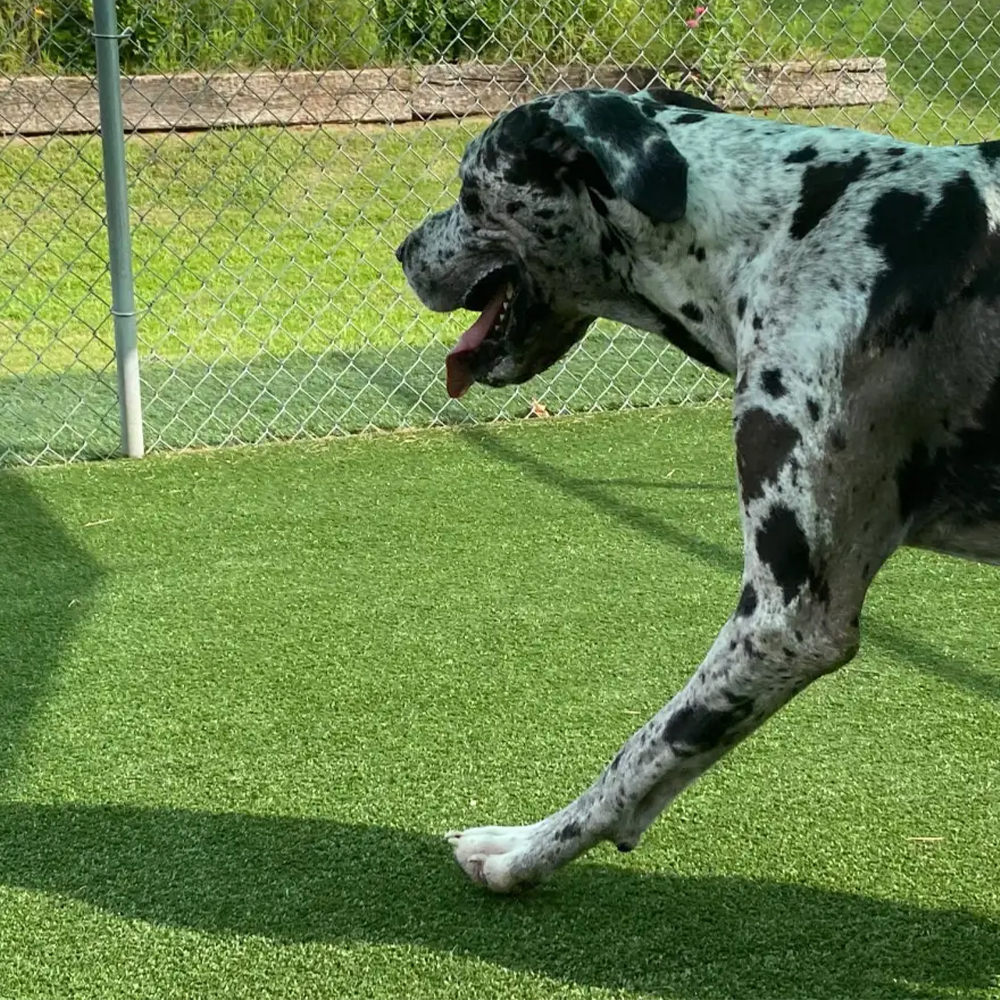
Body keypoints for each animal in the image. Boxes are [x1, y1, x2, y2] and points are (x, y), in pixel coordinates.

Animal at [392, 86, 1000, 896]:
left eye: (469, 193)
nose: (400, 251)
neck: (783, 234)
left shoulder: (787, 620)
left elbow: (642, 752)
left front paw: (523, 851)